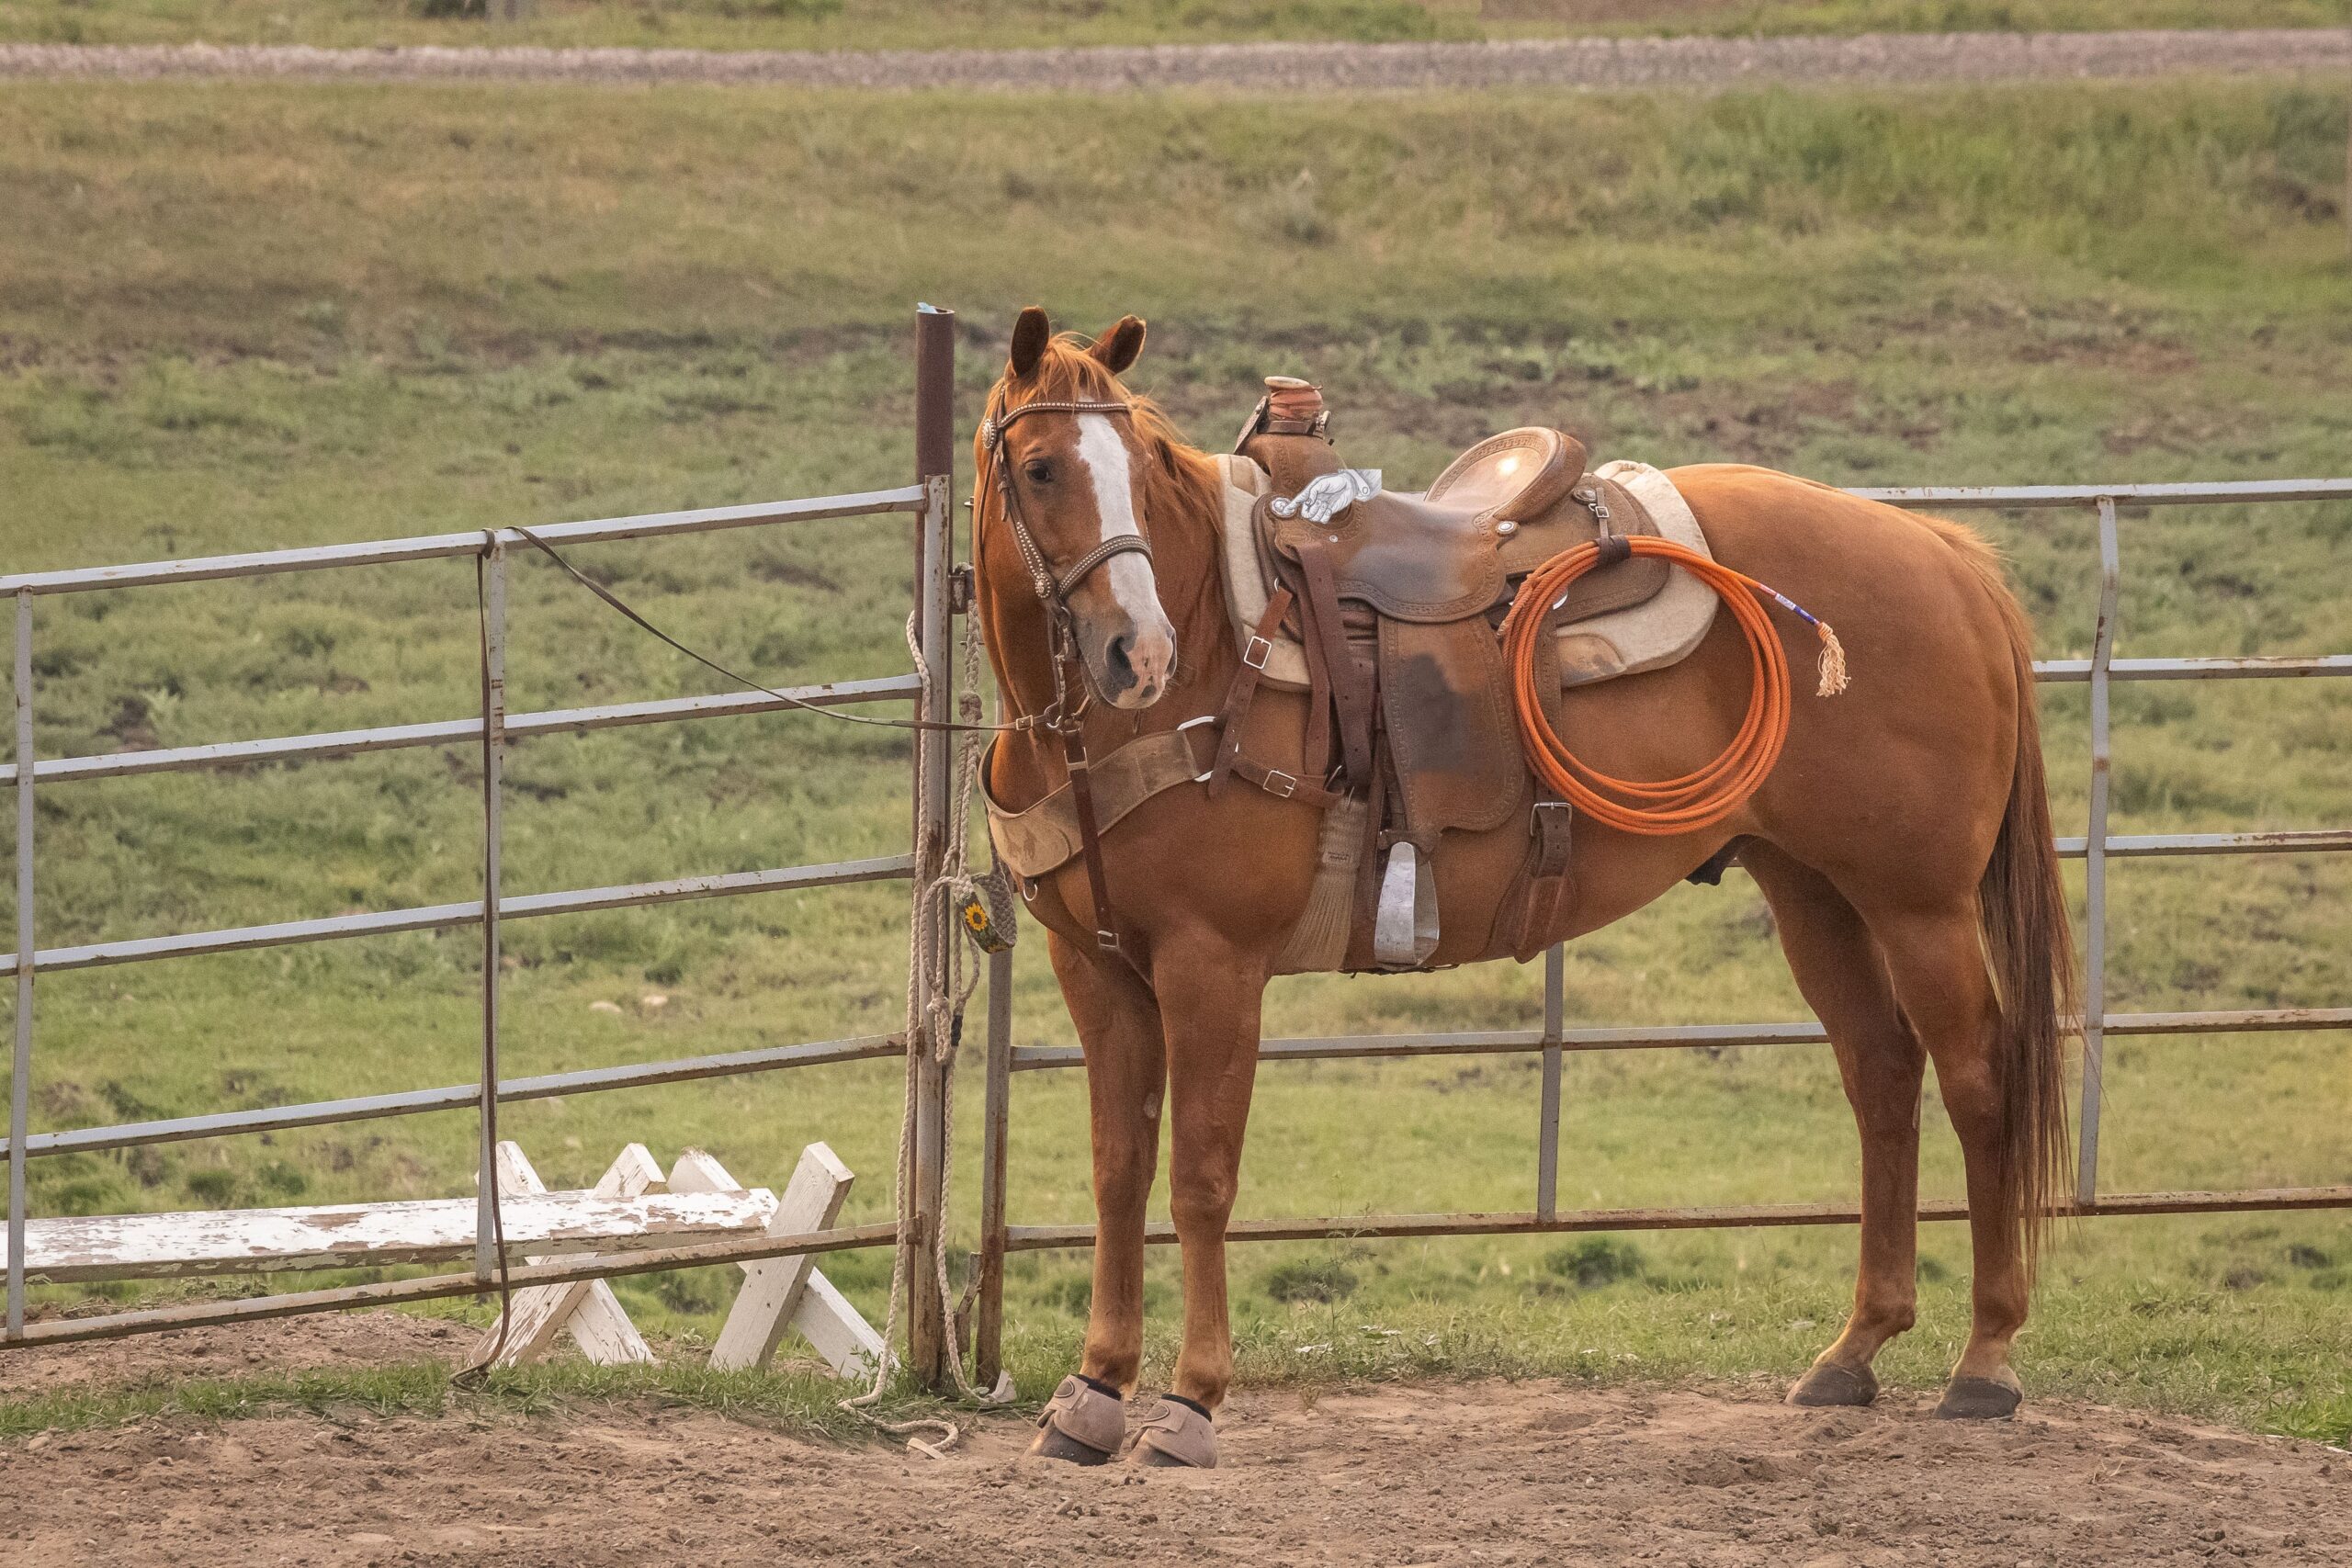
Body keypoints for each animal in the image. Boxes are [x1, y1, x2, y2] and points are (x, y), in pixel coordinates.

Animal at [973, 306, 2075, 1468]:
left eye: (1137, 467)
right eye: (1040, 468)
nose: (1136, 653)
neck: (1210, 661)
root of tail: (1945, 555)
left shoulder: (1211, 965)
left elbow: (1198, 1178)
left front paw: (1189, 1405)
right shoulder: (1097, 971)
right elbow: (1117, 1172)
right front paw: (1093, 1392)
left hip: (1920, 905)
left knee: (1977, 1079)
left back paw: (1985, 1359)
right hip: (1813, 893)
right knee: (1881, 1076)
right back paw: (1854, 1349)